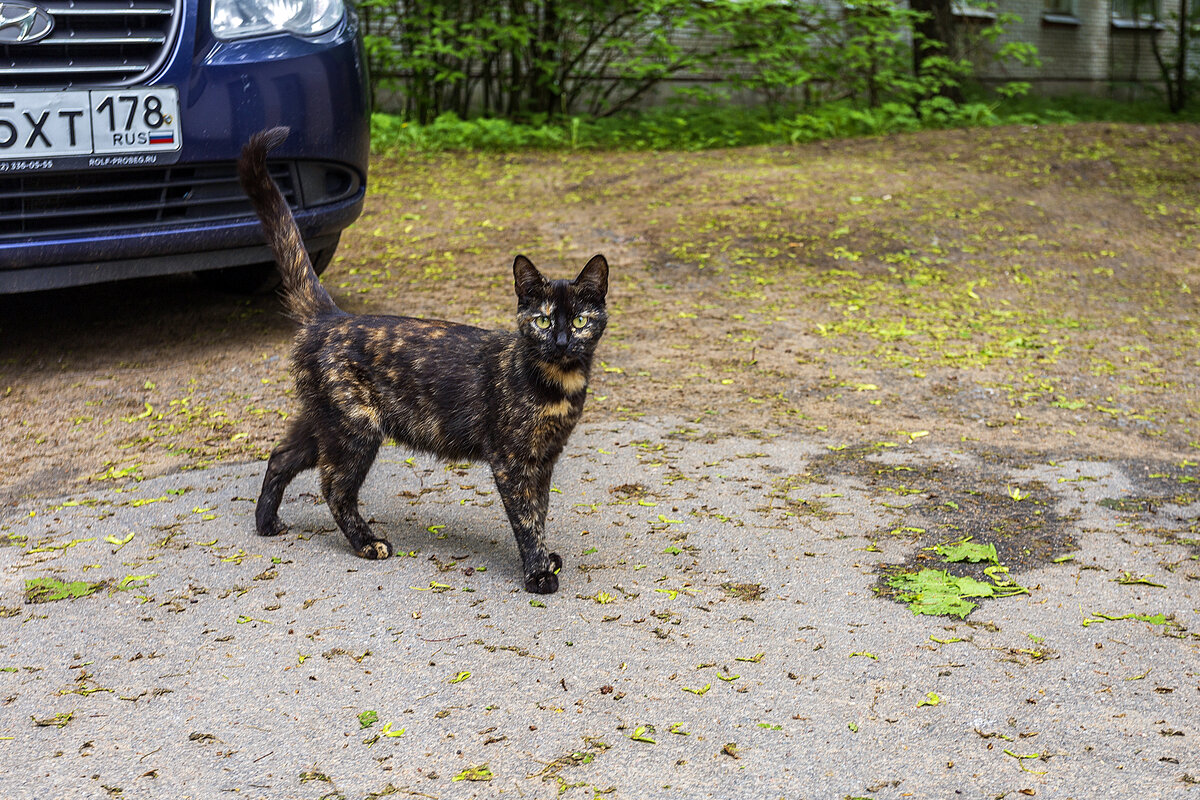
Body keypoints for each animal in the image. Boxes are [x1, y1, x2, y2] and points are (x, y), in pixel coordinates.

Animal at [238, 128, 609, 594]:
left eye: (578, 321)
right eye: (542, 320)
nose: (560, 341)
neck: (559, 382)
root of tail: (330, 316)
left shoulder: (545, 459)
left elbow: (540, 511)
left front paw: (546, 557)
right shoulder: (513, 461)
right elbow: (525, 516)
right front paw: (538, 572)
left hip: (324, 421)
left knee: (280, 457)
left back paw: (266, 522)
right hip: (355, 429)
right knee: (334, 487)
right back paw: (367, 543)